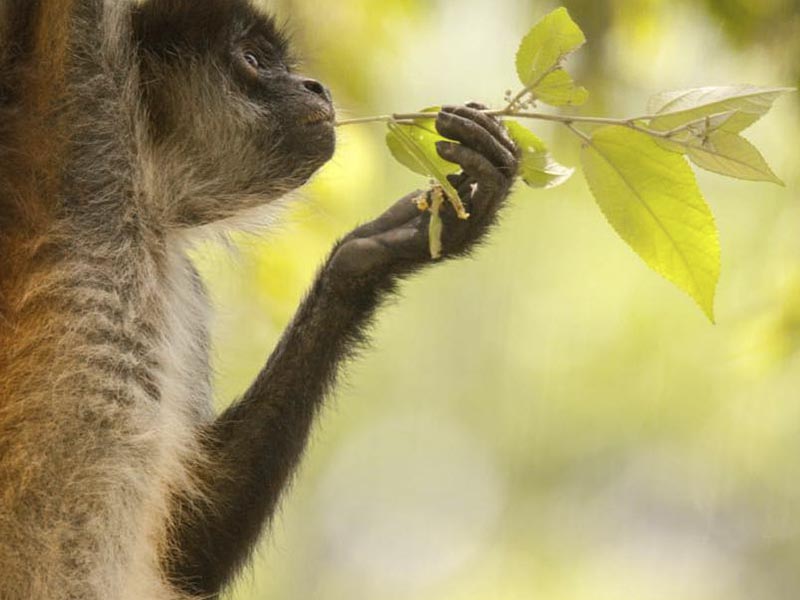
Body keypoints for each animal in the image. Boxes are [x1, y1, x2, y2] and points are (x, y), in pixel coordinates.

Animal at [0, 1, 520, 600]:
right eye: (253, 59)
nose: (314, 86)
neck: (142, 202)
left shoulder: (183, 278)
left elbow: (192, 550)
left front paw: (385, 246)